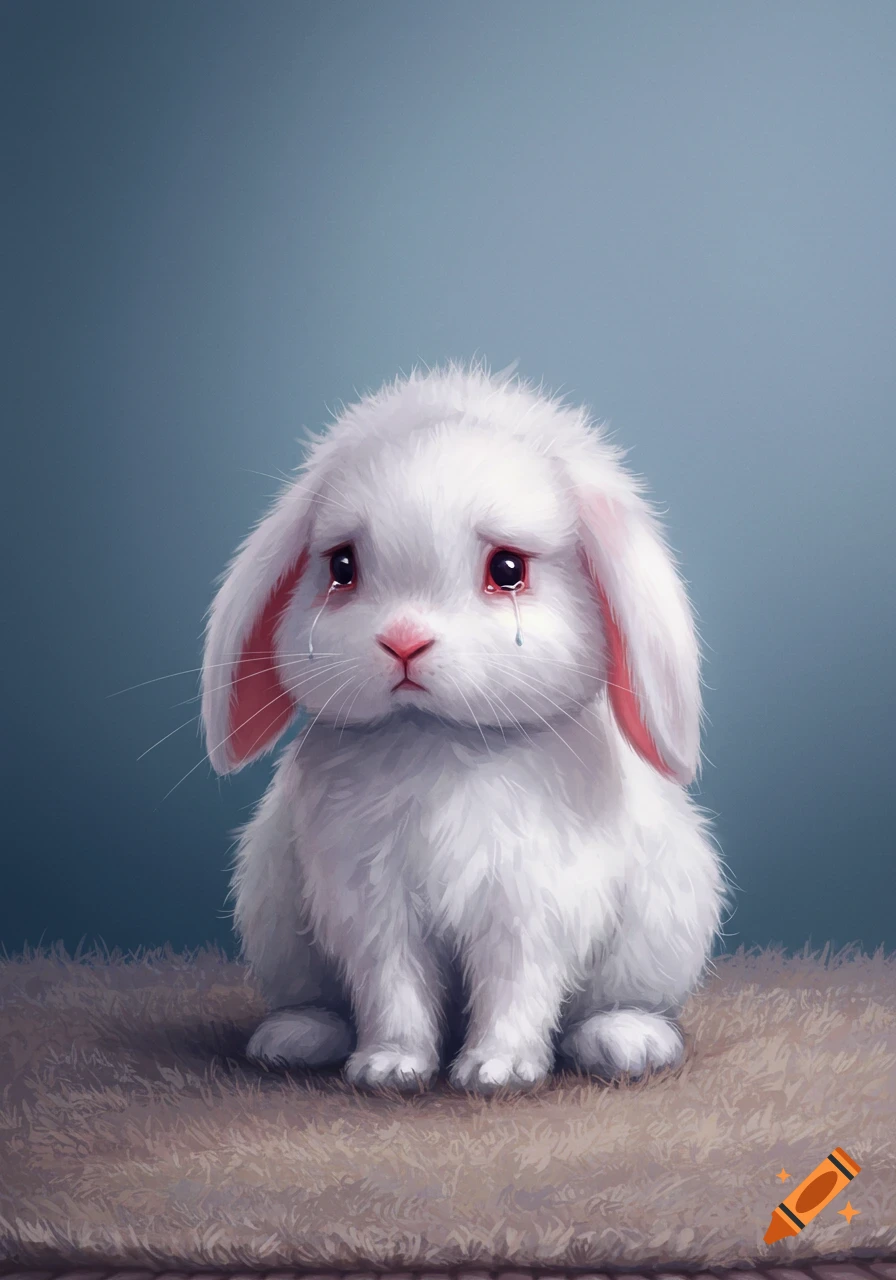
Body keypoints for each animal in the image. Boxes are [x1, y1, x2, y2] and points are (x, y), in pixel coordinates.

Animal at [200, 360, 733, 1094]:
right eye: (341, 567)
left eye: (508, 570)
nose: (403, 641)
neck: (442, 741)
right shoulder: (373, 907)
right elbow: (392, 986)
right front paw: (390, 1068)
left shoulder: (531, 907)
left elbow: (516, 986)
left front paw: (497, 1071)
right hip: (276, 920)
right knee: (318, 1000)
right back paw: (294, 1039)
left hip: (664, 930)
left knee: (616, 1006)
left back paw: (627, 1043)